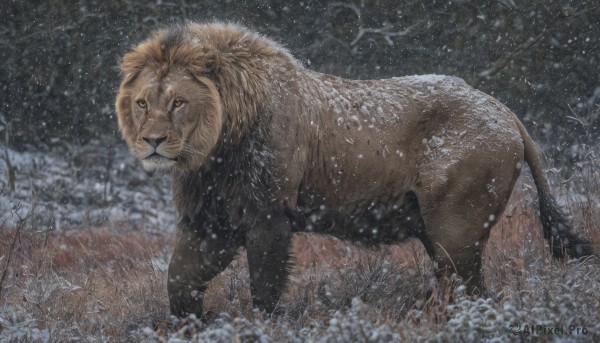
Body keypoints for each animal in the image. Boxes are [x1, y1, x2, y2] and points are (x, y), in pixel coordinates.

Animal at [116, 20, 596, 318]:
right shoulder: (211, 218)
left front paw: (260, 325)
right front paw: (189, 323)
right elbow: (179, 278)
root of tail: (507, 112)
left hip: (457, 226)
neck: (214, 152)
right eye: (141, 103)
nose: (152, 141)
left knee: (471, 289)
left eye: (178, 102)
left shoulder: (269, 212)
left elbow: (265, 284)